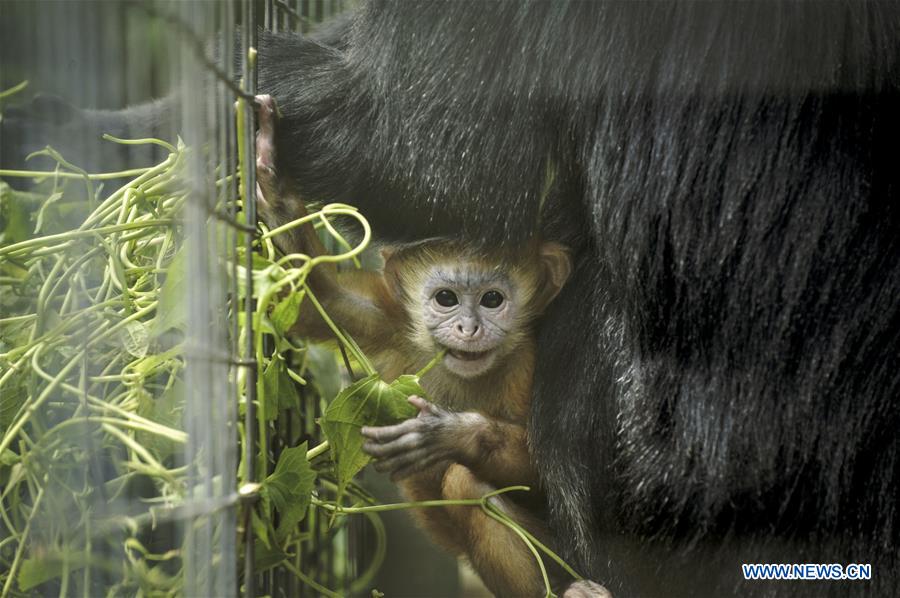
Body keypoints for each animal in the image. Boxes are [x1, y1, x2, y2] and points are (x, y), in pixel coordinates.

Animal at [256, 96, 572, 596]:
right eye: (446, 298)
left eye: (492, 300)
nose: (468, 328)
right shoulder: (389, 322)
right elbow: (315, 297)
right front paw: (272, 175)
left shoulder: (529, 364)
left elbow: (547, 477)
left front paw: (453, 433)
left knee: (464, 483)